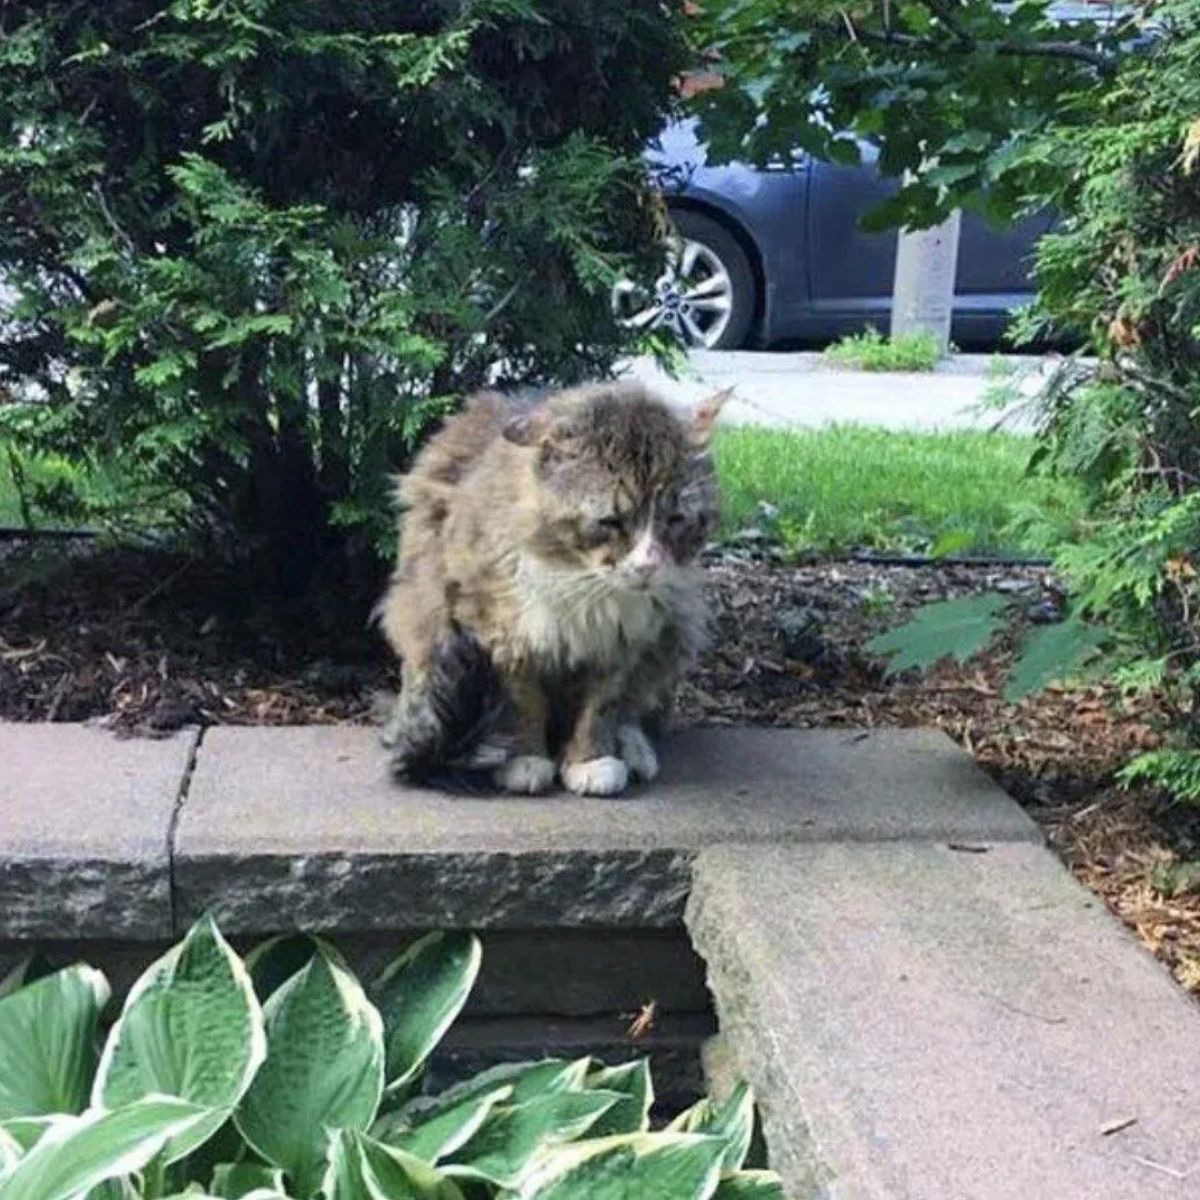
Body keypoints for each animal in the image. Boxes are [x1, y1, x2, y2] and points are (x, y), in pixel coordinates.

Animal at [379, 384, 724, 796]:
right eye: (610, 521)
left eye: (675, 520)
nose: (648, 565)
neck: (581, 584)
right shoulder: (504, 632)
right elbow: (525, 704)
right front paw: (526, 759)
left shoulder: (623, 641)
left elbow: (602, 707)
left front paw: (590, 760)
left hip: (677, 628)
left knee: (637, 708)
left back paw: (635, 748)